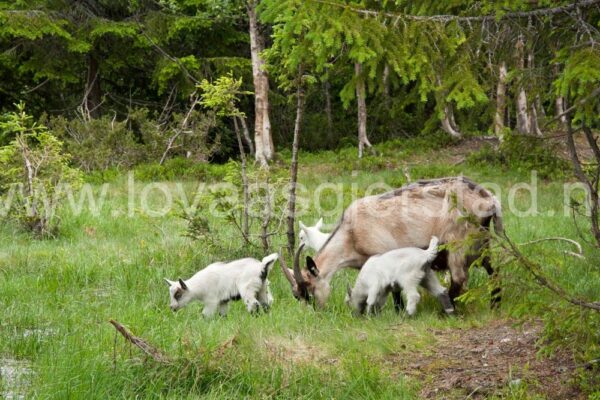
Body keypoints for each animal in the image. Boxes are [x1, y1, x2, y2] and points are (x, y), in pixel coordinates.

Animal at [280, 177, 502, 308]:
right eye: (297, 296)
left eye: (308, 291)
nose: (318, 311)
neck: (351, 234)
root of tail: (488, 199)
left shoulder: (385, 255)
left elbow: (393, 288)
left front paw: (397, 310)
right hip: (481, 242)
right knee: (494, 271)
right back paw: (495, 304)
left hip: (459, 241)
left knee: (459, 277)